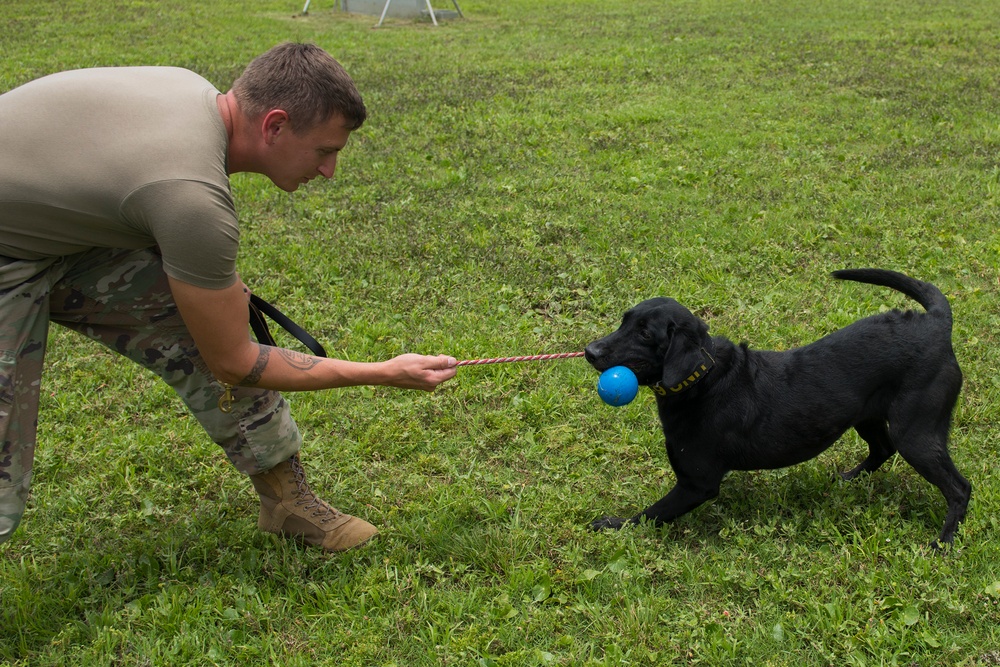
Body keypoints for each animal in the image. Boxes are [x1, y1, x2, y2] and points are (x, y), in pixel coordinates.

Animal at [584, 268, 968, 544]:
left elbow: (648, 515)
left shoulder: (696, 484)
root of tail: (937, 322)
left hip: (915, 432)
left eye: (645, 334)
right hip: (868, 414)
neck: (703, 378)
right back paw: (848, 479)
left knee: (960, 487)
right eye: (623, 320)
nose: (590, 350)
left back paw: (945, 540)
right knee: (882, 448)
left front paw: (612, 524)